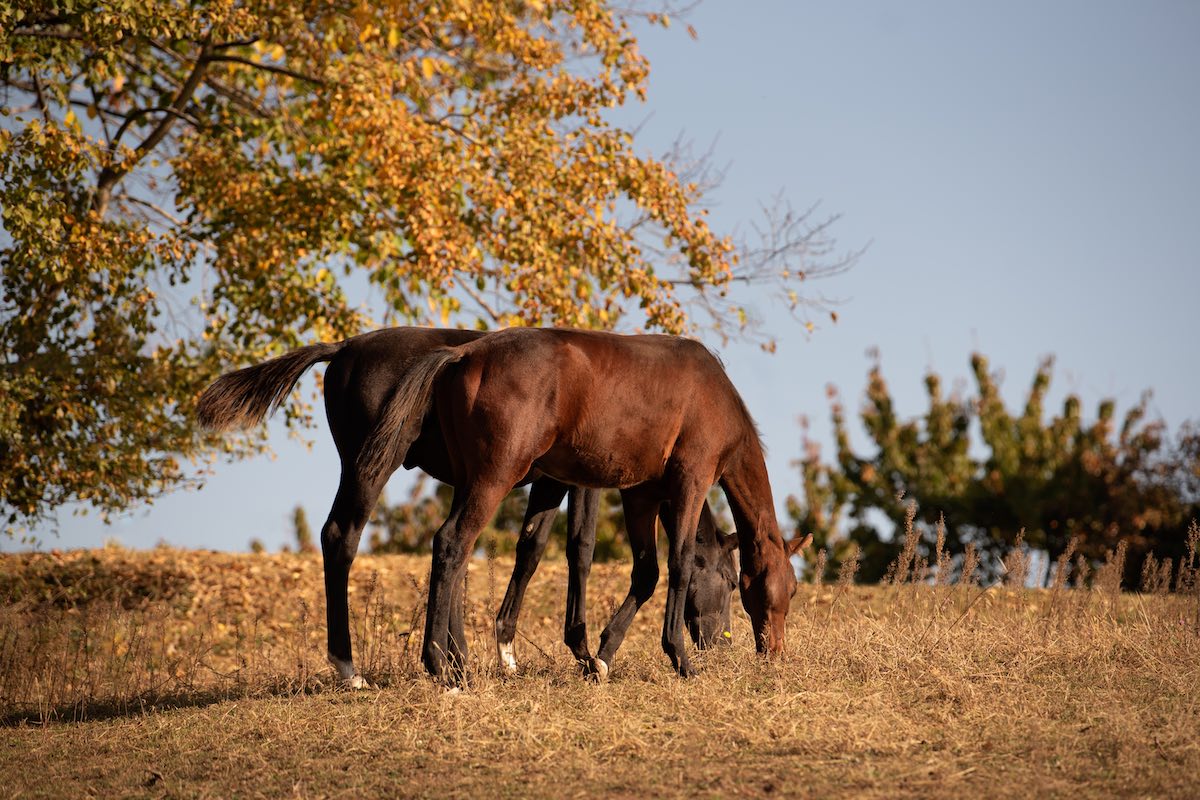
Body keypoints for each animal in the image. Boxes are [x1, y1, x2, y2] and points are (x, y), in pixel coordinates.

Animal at [193, 328, 734, 686]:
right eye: (730, 581)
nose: (721, 642)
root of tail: (344, 348)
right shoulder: (585, 481)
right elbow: (579, 550)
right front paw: (583, 654)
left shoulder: (549, 482)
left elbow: (530, 549)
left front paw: (507, 652)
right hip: (373, 466)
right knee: (344, 536)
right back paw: (354, 669)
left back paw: (449, 659)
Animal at [352, 326, 806, 681]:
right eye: (732, 582)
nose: (773, 651)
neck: (712, 395)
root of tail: (462, 355)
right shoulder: (689, 484)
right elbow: (677, 565)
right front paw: (679, 658)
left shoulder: (640, 494)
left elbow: (646, 573)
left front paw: (601, 657)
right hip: (492, 479)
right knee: (450, 544)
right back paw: (441, 667)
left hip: (470, 482)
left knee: (455, 551)